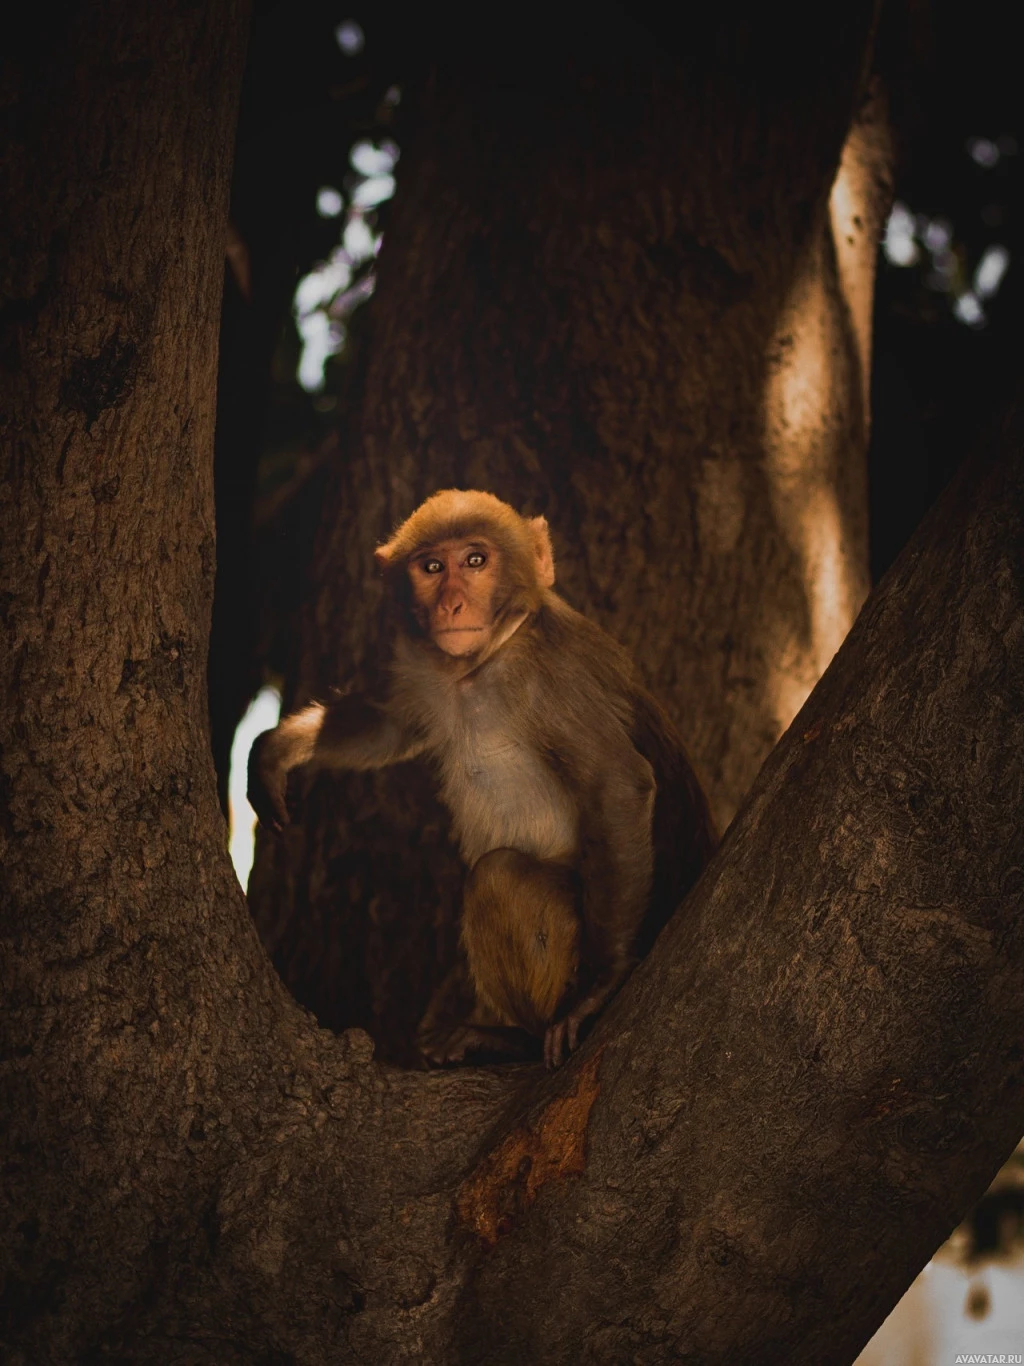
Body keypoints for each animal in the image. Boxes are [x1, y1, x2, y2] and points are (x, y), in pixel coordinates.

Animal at [248, 491, 715, 1065]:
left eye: (475, 561)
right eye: (431, 567)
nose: (451, 605)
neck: (485, 661)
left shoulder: (551, 678)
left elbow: (617, 785)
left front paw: (602, 987)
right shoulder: (428, 672)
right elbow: (390, 725)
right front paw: (278, 749)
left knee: (498, 876)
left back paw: (517, 1037)